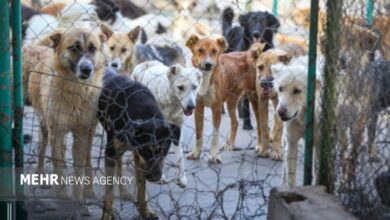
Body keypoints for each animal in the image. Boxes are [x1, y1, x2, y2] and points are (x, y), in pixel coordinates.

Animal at [23, 26, 109, 200]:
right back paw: (40, 176)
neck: (76, 91)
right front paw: (62, 195)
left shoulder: (82, 134)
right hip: (45, 126)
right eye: (74, 47)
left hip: (90, 132)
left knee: (87, 159)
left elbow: (78, 168)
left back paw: (88, 189)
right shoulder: (56, 131)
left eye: (93, 48)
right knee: (44, 148)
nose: (87, 69)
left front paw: (78, 199)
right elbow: (59, 166)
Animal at [99, 74, 181, 220]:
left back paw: (124, 191)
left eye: (164, 150)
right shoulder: (111, 152)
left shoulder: (138, 157)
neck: (144, 115)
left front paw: (145, 211)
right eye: (145, 150)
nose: (155, 177)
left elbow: (141, 189)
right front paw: (107, 214)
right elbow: (109, 189)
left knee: (119, 162)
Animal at [272, 55, 322, 186]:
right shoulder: (291, 143)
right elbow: (290, 177)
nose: (280, 112)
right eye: (280, 88)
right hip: (285, 141)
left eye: (297, 91)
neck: (304, 117)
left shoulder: (319, 145)